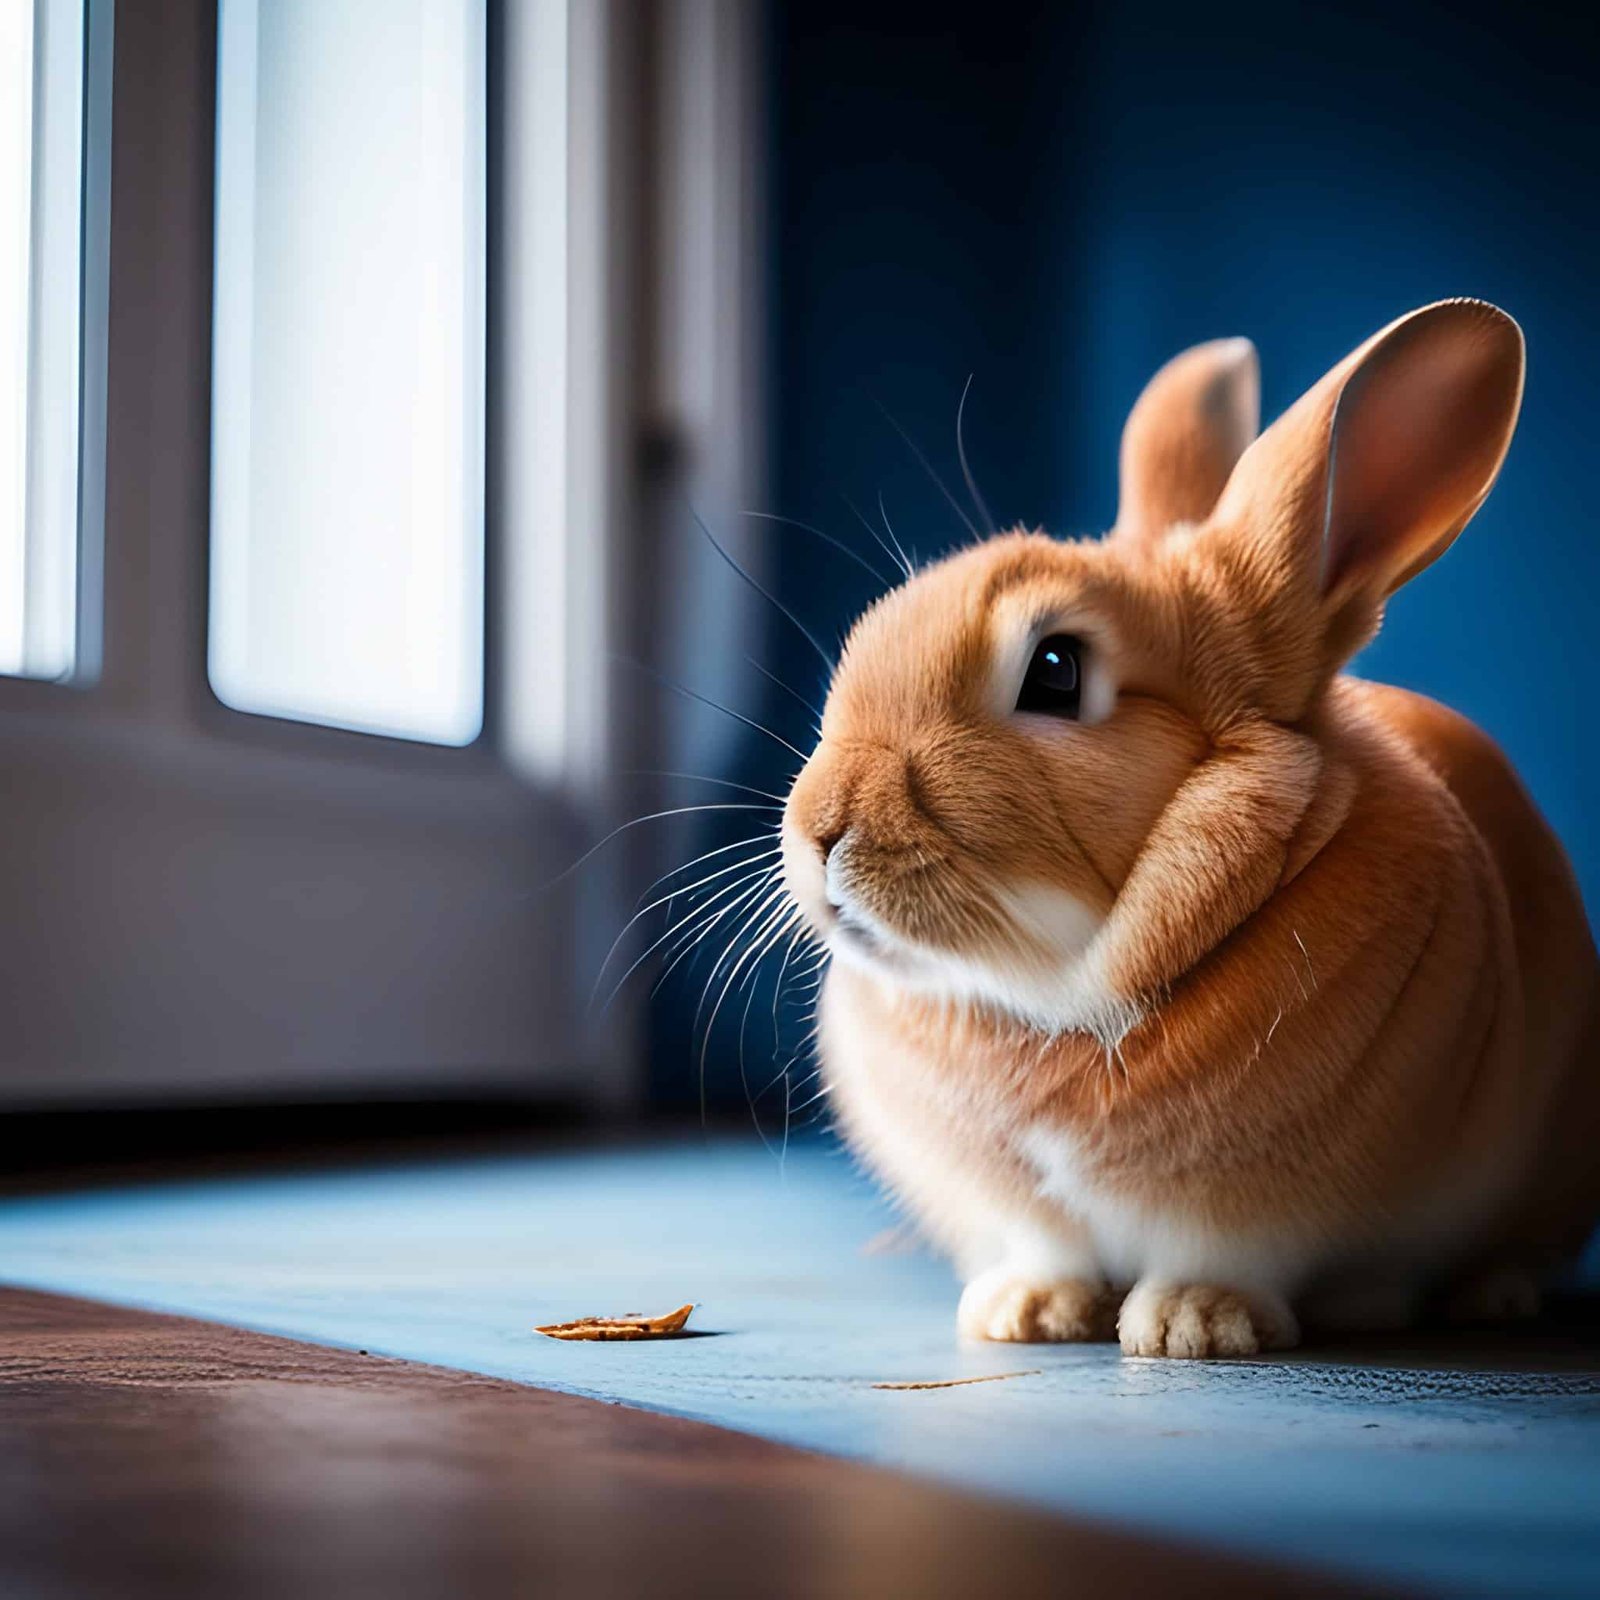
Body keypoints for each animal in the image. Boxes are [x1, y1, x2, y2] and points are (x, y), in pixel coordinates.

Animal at [784, 297, 1600, 1350]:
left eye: (1056, 671)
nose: (821, 829)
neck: (1053, 1005)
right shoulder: (1018, 1210)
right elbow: (1046, 1249)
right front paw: (1026, 1314)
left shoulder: (1260, 1214)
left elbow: (1225, 1258)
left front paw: (1193, 1328)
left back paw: (1487, 1295)